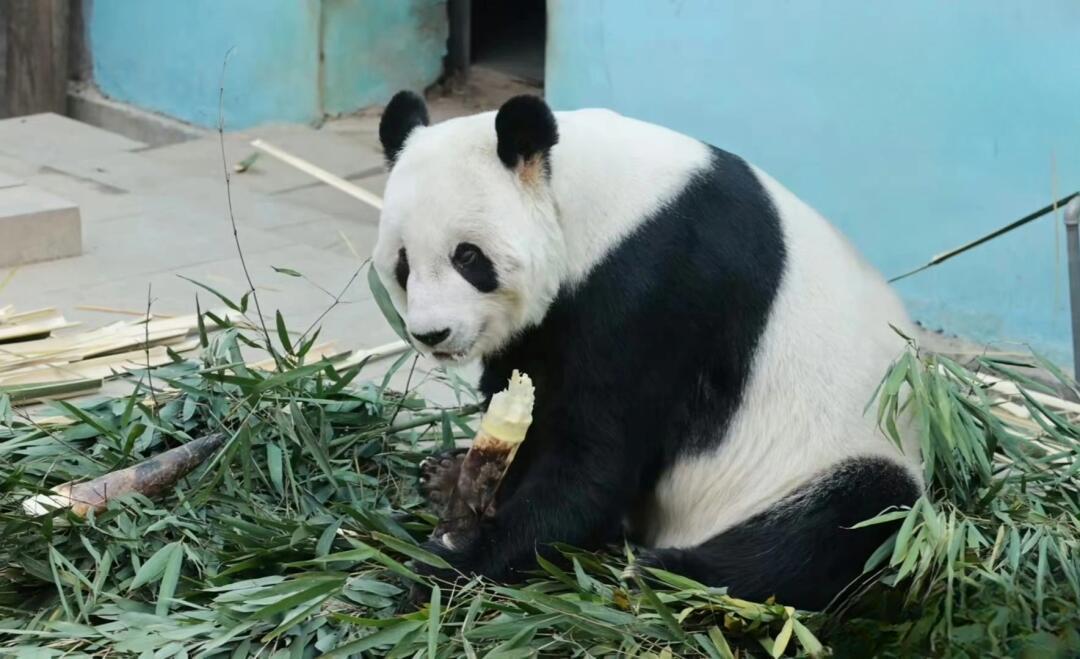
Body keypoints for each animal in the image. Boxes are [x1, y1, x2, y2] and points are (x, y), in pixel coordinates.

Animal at [371, 89, 920, 609]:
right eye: (403, 264)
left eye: (467, 257)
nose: (432, 334)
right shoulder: (556, 318)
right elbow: (532, 399)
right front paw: (457, 481)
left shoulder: (657, 281)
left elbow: (593, 459)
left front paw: (448, 567)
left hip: (846, 456)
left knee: (845, 528)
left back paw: (661, 571)